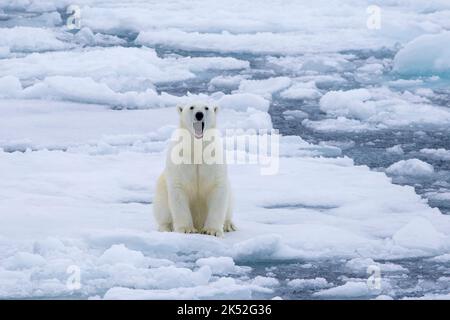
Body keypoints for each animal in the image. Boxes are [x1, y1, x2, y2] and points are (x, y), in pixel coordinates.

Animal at [153, 101, 236, 236]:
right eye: (191, 107)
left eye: (206, 108)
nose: (199, 114)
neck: (197, 148)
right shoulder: (180, 161)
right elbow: (178, 190)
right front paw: (187, 229)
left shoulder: (214, 159)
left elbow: (218, 189)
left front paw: (212, 231)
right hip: (161, 189)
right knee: (162, 208)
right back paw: (166, 227)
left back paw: (229, 225)